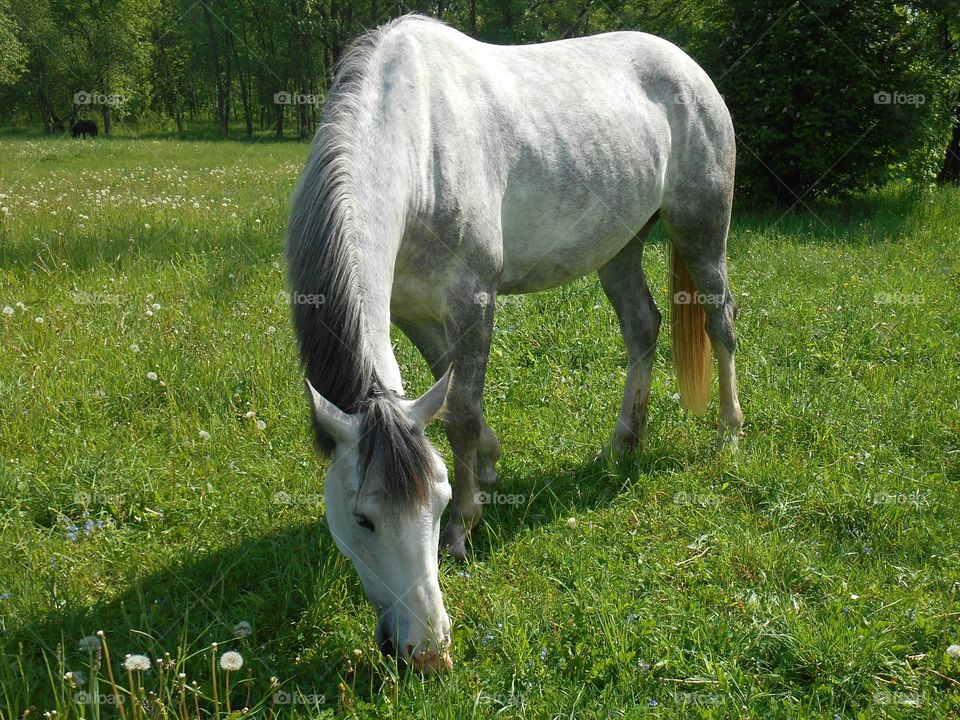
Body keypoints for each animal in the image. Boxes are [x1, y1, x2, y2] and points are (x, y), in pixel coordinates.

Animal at [286, 14, 743, 674]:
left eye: (434, 504)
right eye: (362, 519)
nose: (428, 652)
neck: (420, 144)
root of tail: (688, 66)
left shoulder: (474, 300)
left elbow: (462, 412)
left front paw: (465, 525)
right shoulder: (414, 313)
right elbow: (452, 397)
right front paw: (489, 467)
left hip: (702, 230)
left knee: (719, 321)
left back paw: (730, 430)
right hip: (621, 245)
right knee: (643, 327)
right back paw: (622, 443)